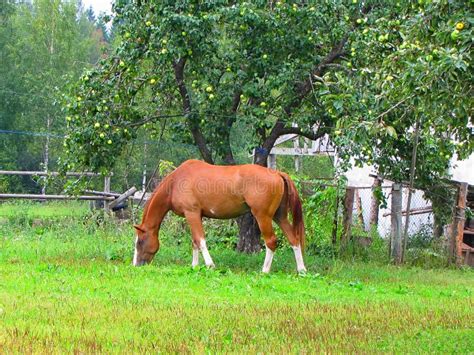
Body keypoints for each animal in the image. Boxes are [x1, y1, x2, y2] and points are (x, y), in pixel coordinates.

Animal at [132, 160, 308, 274]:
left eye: (140, 242)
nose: (136, 265)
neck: (176, 182)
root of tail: (277, 173)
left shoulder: (192, 214)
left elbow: (200, 240)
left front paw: (210, 265)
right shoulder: (196, 216)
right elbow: (195, 242)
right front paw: (195, 266)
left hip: (263, 217)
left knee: (271, 242)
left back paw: (264, 271)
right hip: (280, 216)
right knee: (294, 239)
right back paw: (301, 270)